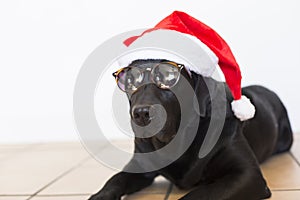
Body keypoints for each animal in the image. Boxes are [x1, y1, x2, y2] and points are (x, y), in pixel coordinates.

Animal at [89, 58, 292, 199]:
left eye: (168, 77)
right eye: (130, 81)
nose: (140, 114)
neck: (178, 140)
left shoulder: (247, 175)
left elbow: (199, 194)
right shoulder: (139, 165)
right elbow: (114, 180)